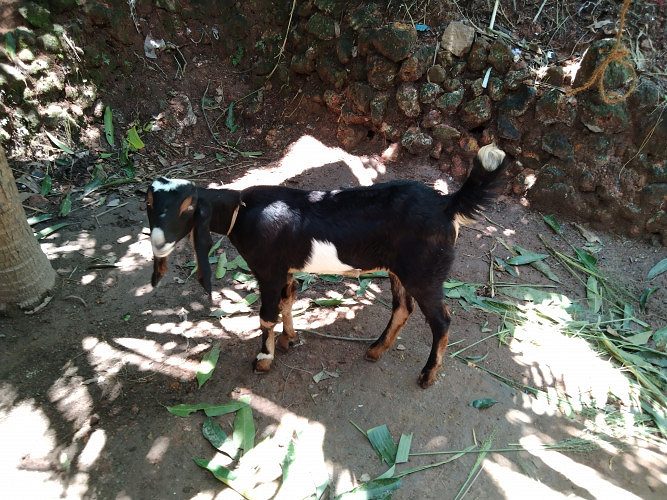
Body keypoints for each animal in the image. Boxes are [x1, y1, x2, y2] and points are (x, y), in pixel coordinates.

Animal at [145, 144, 507, 388]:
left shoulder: (268, 270)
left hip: (425, 272)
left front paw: (263, 359)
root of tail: (447, 204)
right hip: (401, 270)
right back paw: (376, 350)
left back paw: (428, 374)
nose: (158, 242)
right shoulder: (286, 269)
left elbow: (266, 315)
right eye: (149, 202)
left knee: (441, 320)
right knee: (403, 308)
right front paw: (290, 340)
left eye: (187, 207)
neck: (242, 210)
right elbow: (288, 301)